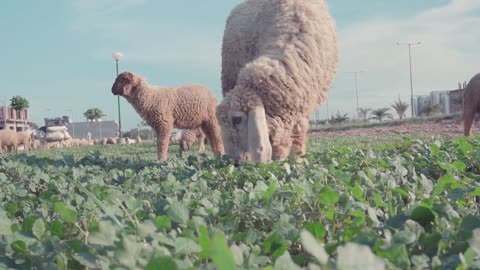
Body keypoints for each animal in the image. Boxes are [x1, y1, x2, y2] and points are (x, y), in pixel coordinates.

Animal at [216, 0, 340, 162]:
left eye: (236, 119)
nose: (231, 161)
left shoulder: (304, 107)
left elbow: (297, 136)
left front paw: (296, 160)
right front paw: (278, 161)